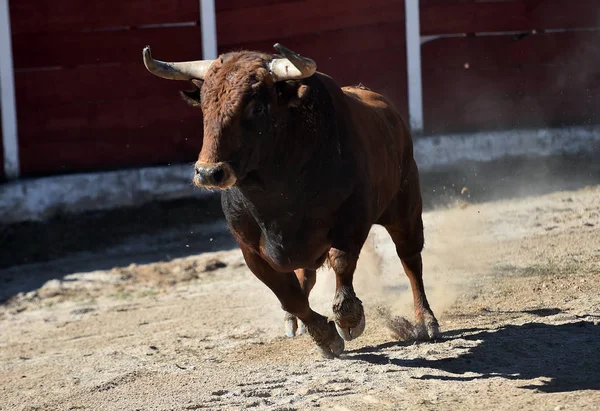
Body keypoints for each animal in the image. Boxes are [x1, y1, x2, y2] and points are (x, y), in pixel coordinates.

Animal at [142, 41, 438, 358]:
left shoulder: (351, 223)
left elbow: (342, 265)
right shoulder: (250, 250)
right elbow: (288, 294)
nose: (209, 173)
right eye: (205, 107)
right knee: (305, 277)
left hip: (405, 208)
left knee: (410, 260)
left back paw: (426, 320)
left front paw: (349, 321)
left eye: (257, 107)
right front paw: (324, 336)